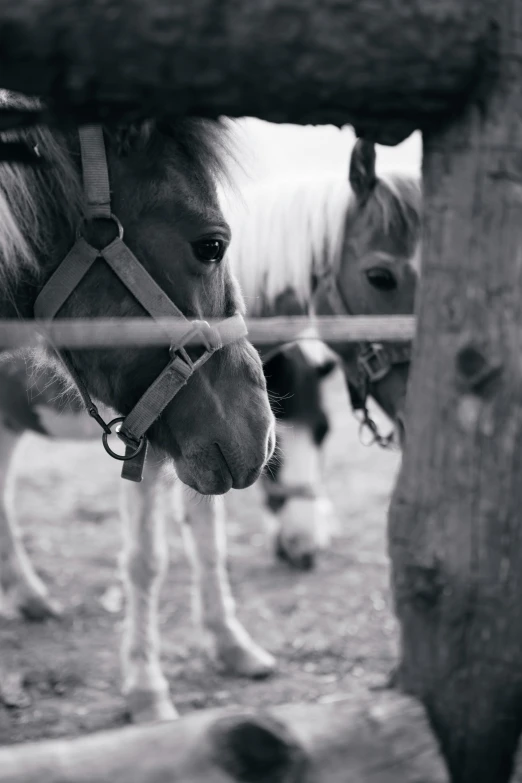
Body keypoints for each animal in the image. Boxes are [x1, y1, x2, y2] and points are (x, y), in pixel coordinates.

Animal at [0, 95, 276, 724]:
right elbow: (147, 558)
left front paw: (230, 645)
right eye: (212, 245)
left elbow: (205, 538)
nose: (261, 431)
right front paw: (147, 689)